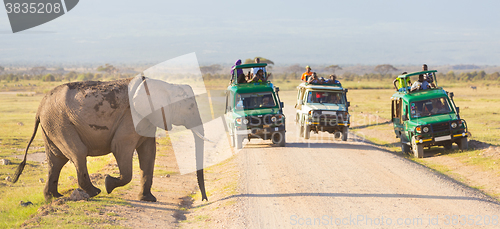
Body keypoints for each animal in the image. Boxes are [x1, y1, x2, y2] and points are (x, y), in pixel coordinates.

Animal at [12, 76, 207, 201]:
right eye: (190, 106)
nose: (204, 199)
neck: (166, 85)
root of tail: (39, 108)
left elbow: (149, 153)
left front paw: (148, 199)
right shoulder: (130, 119)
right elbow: (120, 148)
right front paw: (108, 183)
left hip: (52, 125)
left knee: (56, 160)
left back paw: (53, 197)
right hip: (60, 123)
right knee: (77, 153)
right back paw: (95, 192)